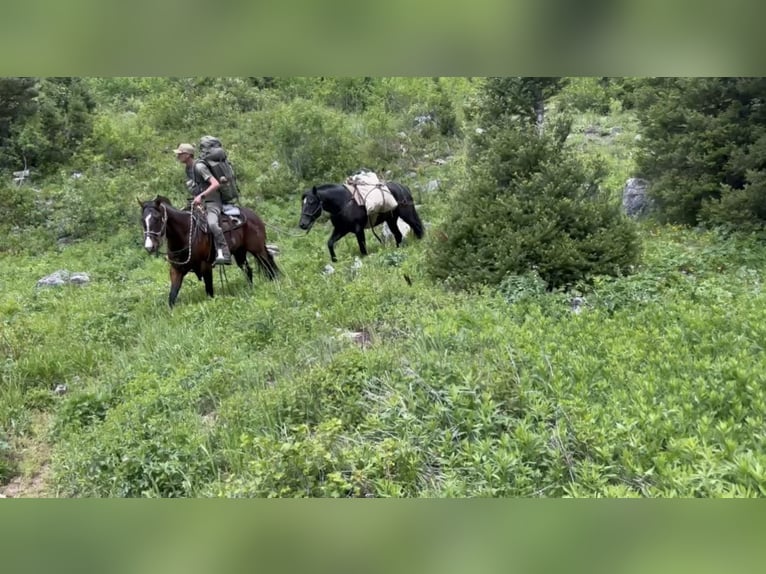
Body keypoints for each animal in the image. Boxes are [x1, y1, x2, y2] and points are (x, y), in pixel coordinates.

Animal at [139, 195, 279, 307]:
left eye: (157, 218)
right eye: (143, 220)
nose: (149, 246)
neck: (185, 234)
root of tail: (253, 215)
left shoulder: (205, 266)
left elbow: (209, 290)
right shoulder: (176, 270)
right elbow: (172, 296)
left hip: (258, 250)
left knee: (269, 264)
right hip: (240, 252)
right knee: (248, 270)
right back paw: (251, 289)